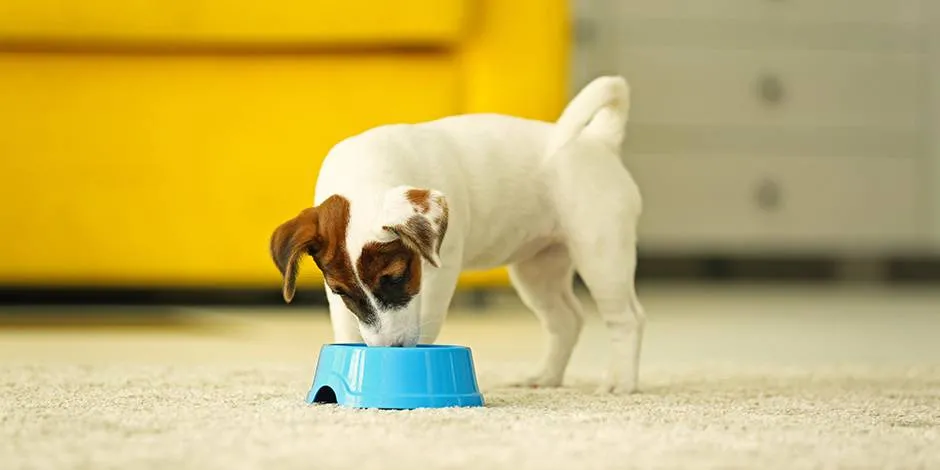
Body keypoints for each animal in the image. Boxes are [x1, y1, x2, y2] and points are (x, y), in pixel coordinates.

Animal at [268, 76, 644, 392]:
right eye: (341, 291)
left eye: (397, 277)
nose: (391, 348)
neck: (364, 173)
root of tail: (600, 141)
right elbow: (346, 325)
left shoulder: (438, 271)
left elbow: (427, 319)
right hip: (538, 270)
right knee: (565, 321)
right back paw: (546, 376)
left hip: (601, 254)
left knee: (627, 319)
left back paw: (621, 383)